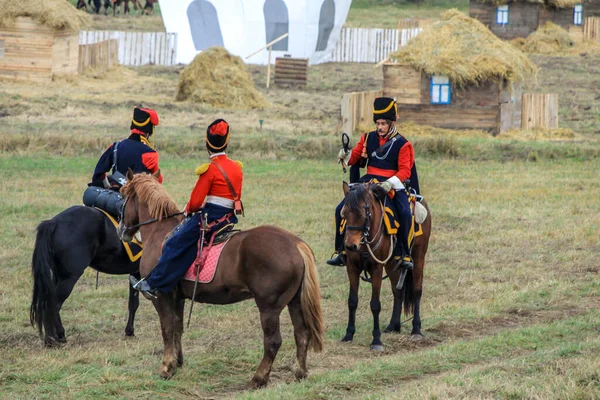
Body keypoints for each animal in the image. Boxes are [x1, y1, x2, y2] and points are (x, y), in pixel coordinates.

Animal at [29, 205, 141, 346]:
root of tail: (53, 223)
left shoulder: (135, 272)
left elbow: (133, 303)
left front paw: (129, 331)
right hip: (69, 277)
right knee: (54, 304)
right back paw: (56, 337)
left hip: (57, 276)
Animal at [117, 170, 324, 388]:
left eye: (122, 195)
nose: (121, 229)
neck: (160, 232)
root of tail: (295, 243)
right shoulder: (178, 297)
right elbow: (177, 328)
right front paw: (178, 361)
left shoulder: (162, 296)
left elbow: (167, 329)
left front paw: (167, 367)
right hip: (295, 301)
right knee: (301, 333)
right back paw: (300, 372)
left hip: (269, 307)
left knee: (273, 341)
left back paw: (258, 379)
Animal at [338, 181, 432, 350]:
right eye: (344, 214)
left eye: (363, 215)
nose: (350, 246)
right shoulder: (352, 268)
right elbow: (352, 301)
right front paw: (349, 334)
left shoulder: (376, 269)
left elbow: (375, 304)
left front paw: (376, 340)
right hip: (391, 263)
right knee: (397, 291)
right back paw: (393, 326)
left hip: (418, 257)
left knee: (416, 290)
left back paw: (416, 330)